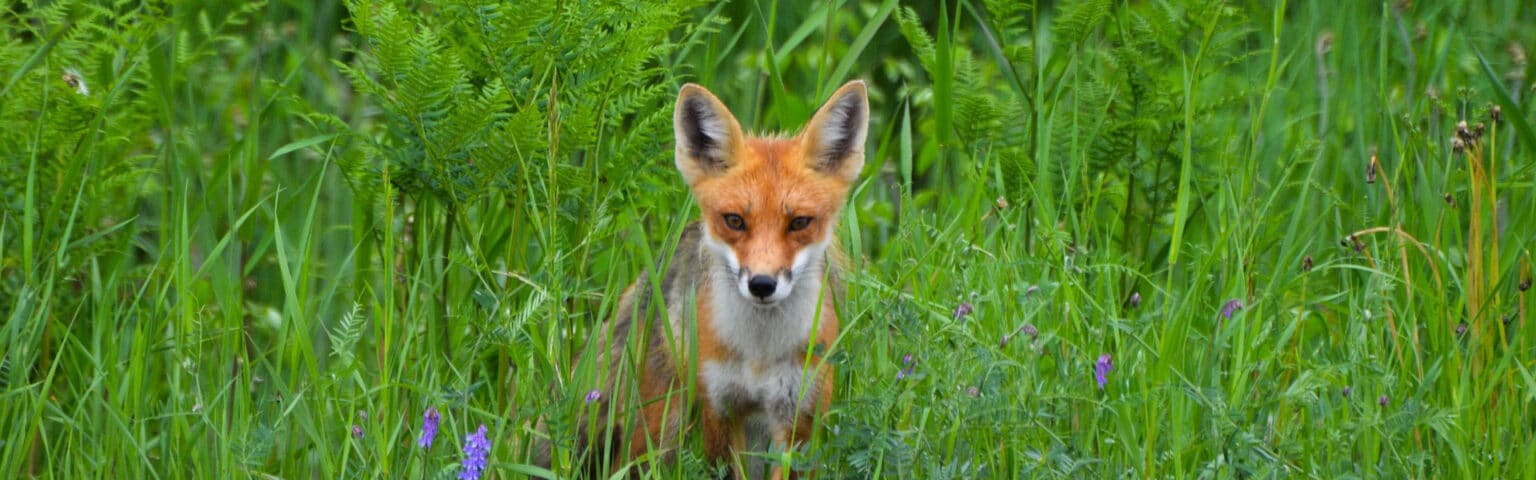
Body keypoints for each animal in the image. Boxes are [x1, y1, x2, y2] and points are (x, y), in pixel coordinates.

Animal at [542, 80, 868, 479]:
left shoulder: (797, 420)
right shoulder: (720, 409)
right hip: (663, 425)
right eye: (735, 221)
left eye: (800, 223)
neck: (759, 353)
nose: (762, 284)